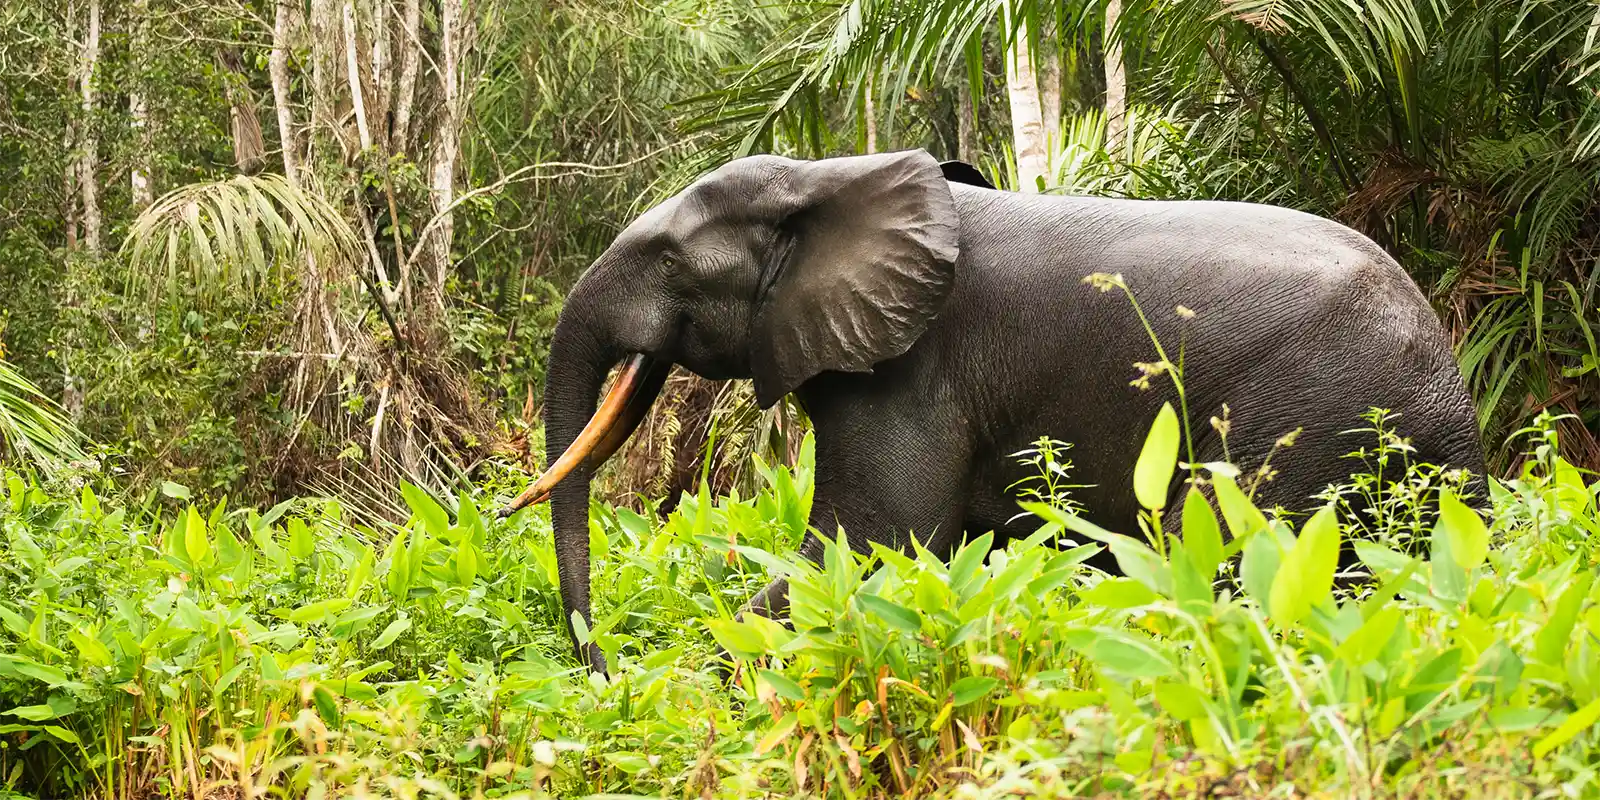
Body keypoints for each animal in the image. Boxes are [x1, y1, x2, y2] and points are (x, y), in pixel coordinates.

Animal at [499, 148, 1484, 672]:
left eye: (670, 261)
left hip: (1300, 423)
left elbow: (868, 546)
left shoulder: (912, 377)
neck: (834, 175)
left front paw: (709, 670)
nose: (603, 669)